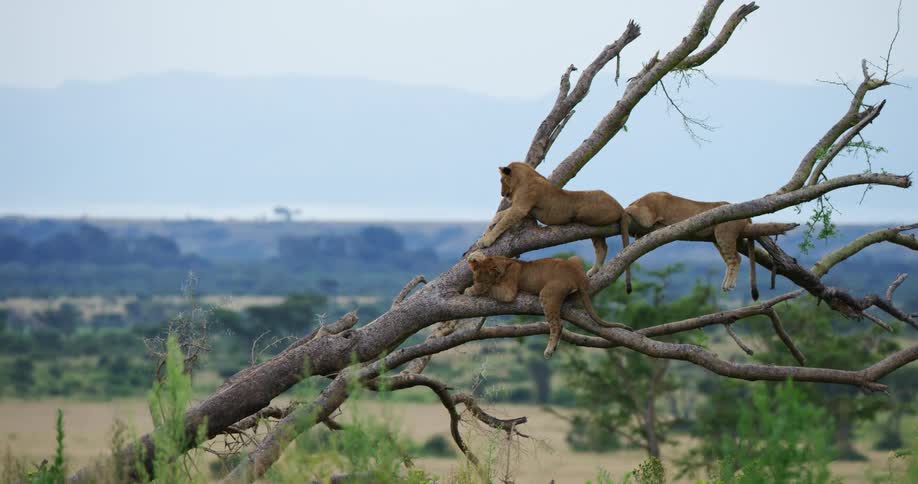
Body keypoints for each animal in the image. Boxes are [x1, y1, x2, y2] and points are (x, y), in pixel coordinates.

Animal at [464, 251, 632, 359]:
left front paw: (471, 290)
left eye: (480, 280)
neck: (505, 263)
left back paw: (550, 350)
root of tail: (578, 276)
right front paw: (474, 257)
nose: (475, 283)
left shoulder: (508, 292)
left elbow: (490, 289)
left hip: (548, 294)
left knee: (557, 325)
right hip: (574, 259)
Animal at [478, 162, 630, 284]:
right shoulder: (525, 211)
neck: (524, 178)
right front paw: (486, 232)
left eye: (501, 180)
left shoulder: (520, 209)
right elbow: (499, 216)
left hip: (588, 214)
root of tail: (620, 206)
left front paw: (486, 241)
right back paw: (593, 271)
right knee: (602, 247)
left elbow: (502, 223)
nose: (502, 194)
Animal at [621, 192, 794, 300]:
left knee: (735, 259)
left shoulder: (647, 216)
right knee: (733, 259)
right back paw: (726, 284)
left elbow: (630, 210)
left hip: (723, 234)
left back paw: (728, 285)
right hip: (718, 239)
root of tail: (745, 216)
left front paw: (623, 209)